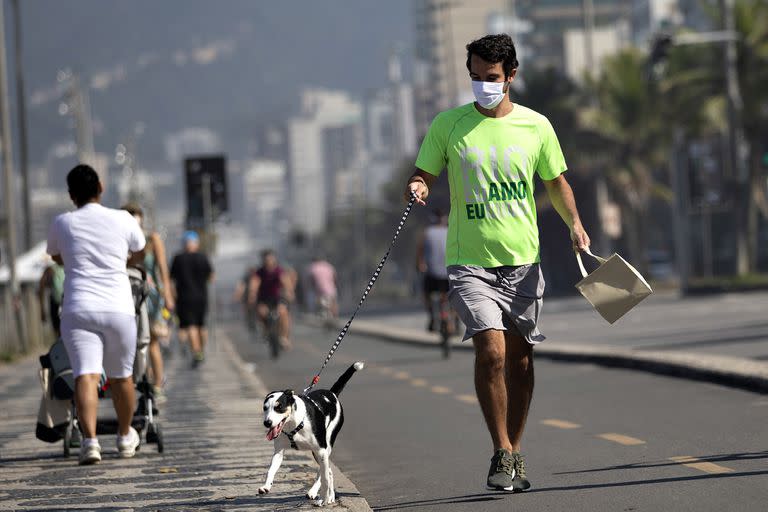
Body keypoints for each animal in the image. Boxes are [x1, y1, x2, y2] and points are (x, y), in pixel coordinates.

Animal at [260, 362, 364, 506]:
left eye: (279, 407)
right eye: (265, 408)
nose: (267, 423)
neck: (295, 424)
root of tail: (332, 393)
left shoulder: (321, 450)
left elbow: (324, 477)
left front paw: (324, 497)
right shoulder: (279, 452)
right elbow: (270, 470)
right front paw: (266, 486)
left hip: (324, 447)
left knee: (325, 472)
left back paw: (321, 495)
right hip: (318, 452)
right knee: (329, 471)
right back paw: (325, 496)